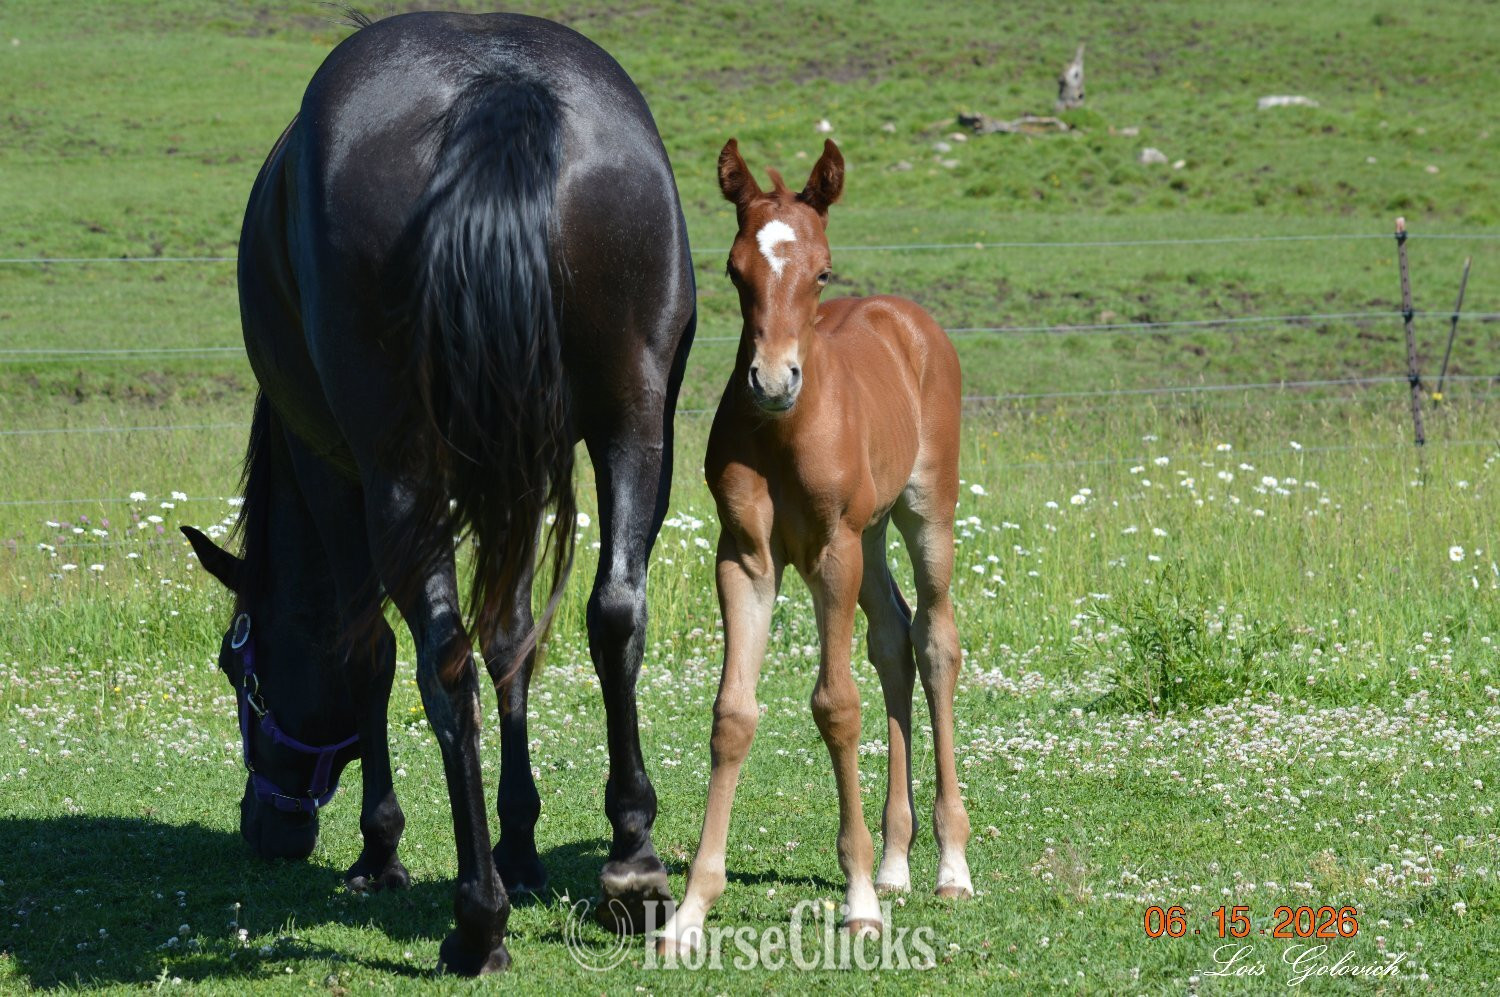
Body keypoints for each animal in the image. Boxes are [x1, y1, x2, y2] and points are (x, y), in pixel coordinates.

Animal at [179, 10, 694, 974]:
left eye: (238, 665)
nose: (264, 827)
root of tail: (499, 87)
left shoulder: (329, 466)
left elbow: (369, 651)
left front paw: (383, 850)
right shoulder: (523, 467)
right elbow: (515, 639)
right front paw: (523, 842)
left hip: (398, 467)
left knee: (440, 661)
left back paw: (477, 918)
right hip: (636, 425)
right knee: (614, 614)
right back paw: (632, 867)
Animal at [657, 139, 972, 952]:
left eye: (822, 271)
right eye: (734, 270)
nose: (771, 381)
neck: (783, 433)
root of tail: (907, 317)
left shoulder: (832, 552)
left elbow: (836, 705)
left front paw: (858, 900)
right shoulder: (744, 558)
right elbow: (732, 715)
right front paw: (689, 910)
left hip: (923, 513)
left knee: (935, 640)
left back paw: (949, 863)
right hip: (872, 533)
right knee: (893, 636)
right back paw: (896, 859)